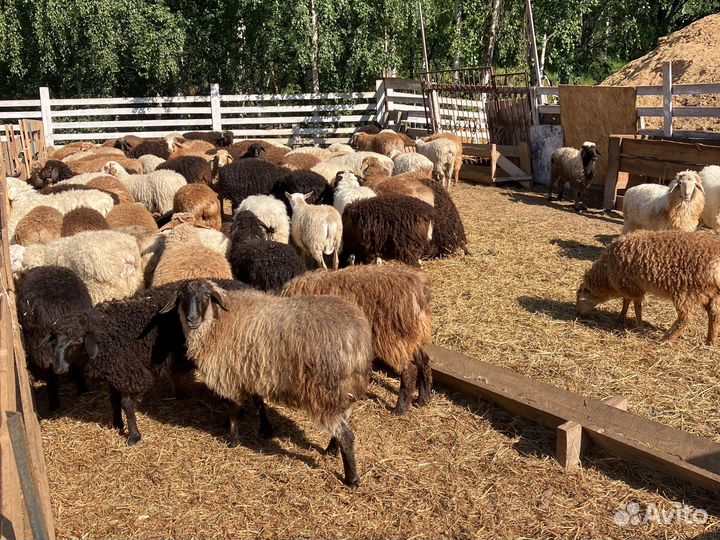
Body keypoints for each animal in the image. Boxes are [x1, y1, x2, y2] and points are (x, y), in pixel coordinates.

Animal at [50, 285, 188, 445]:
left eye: (77, 341)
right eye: (54, 341)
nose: (58, 368)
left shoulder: (130, 375)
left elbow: (126, 405)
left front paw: (134, 436)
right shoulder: (114, 373)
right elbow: (114, 400)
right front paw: (117, 424)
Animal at [159, 279, 373, 487]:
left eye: (205, 296)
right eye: (182, 297)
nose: (192, 320)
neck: (218, 322)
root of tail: (358, 338)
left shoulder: (231, 375)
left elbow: (234, 409)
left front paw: (233, 439)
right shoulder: (253, 372)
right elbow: (258, 402)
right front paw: (265, 429)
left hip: (324, 391)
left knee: (346, 435)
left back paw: (352, 479)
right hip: (345, 390)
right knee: (343, 422)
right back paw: (331, 449)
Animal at [282, 264, 433, 414]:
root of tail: (420, 285)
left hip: (393, 337)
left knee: (409, 370)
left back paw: (400, 409)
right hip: (413, 335)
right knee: (424, 361)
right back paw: (423, 399)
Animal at [577, 230, 720, 345]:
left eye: (580, 299)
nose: (579, 315)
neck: (606, 273)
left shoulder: (632, 287)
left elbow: (636, 307)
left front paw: (638, 327)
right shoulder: (630, 287)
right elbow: (626, 301)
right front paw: (621, 317)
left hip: (685, 290)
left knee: (686, 317)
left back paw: (665, 340)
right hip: (711, 293)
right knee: (714, 315)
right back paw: (710, 341)